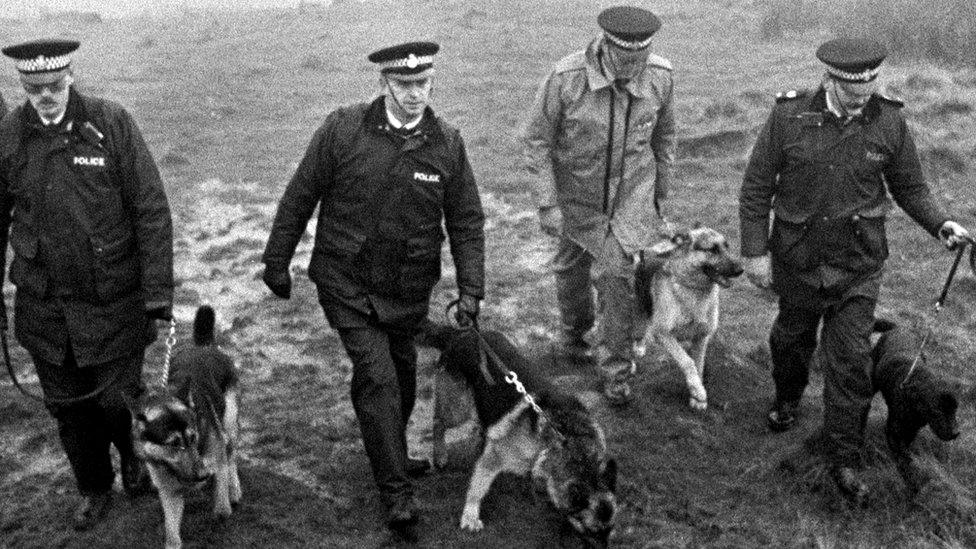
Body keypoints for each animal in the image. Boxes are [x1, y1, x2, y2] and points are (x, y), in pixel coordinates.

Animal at [129, 304, 241, 548]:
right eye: (173, 444)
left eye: (193, 438)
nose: (203, 475)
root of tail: (203, 345)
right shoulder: (169, 494)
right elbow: (171, 534)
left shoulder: (215, 462)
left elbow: (221, 509)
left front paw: (223, 506)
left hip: (229, 423)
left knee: (231, 455)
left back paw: (234, 488)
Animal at [420, 324, 616, 544]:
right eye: (592, 531)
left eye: (610, 530)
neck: (570, 440)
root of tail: (462, 333)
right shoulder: (494, 459)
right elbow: (477, 488)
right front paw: (470, 516)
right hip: (458, 410)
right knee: (438, 423)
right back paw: (440, 454)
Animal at [628, 225, 744, 408]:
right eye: (712, 249)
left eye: (727, 247)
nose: (740, 270)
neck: (694, 289)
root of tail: (649, 252)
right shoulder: (664, 334)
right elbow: (688, 362)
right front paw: (698, 390)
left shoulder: (702, 337)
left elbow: (699, 364)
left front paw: (696, 394)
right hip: (638, 314)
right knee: (635, 334)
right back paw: (632, 359)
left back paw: (640, 347)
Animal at [868, 318, 960, 490]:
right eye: (937, 411)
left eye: (955, 410)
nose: (955, 433)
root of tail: (898, 328)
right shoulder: (893, 431)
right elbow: (903, 457)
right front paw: (911, 480)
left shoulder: (913, 429)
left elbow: (906, 449)